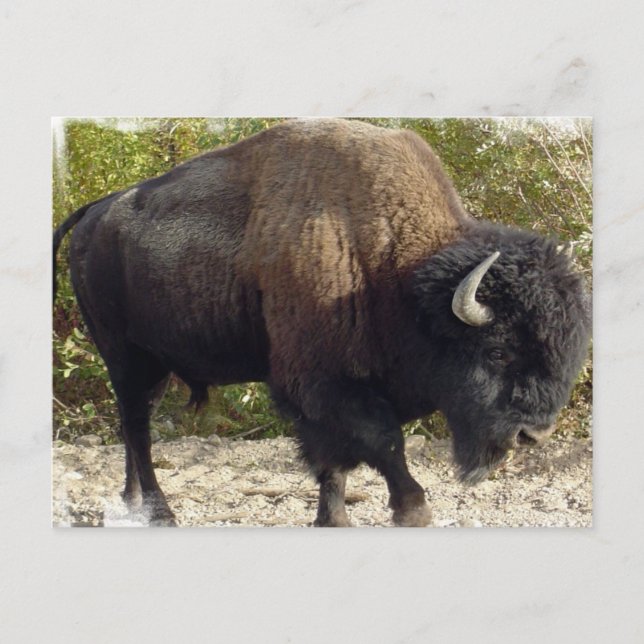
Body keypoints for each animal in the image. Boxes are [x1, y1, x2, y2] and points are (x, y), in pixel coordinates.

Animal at [53, 119, 591, 527]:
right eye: (497, 350)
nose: (533, 436)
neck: (396, 271)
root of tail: (96, 211)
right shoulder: (317, 383)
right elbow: (378, 442)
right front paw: (412, 511)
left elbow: (338, 463)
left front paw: (334, 519)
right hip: (123, 355)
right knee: (137, 428)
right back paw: (160, 512)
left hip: (154, 365)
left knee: (133, 426)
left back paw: (134, 505)